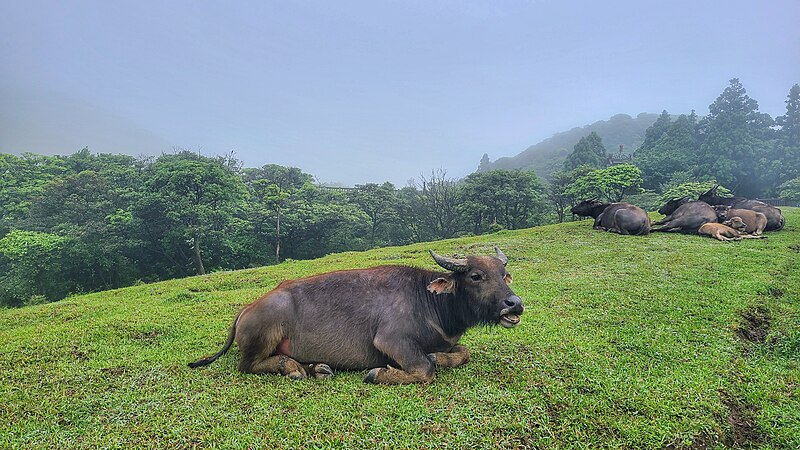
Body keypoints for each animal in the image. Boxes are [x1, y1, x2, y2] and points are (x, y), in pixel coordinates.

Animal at [188, 248, 524, 384]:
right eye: (476, 276)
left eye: (503, 274)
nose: (514, 304)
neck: (430, 301)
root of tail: (246, 309)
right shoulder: (391, 340)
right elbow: (424, 369)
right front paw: (379, 374)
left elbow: (461, 353)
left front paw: (440, 357)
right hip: (264, 334)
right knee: (248, 365)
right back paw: (294, 369)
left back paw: (316, 368)